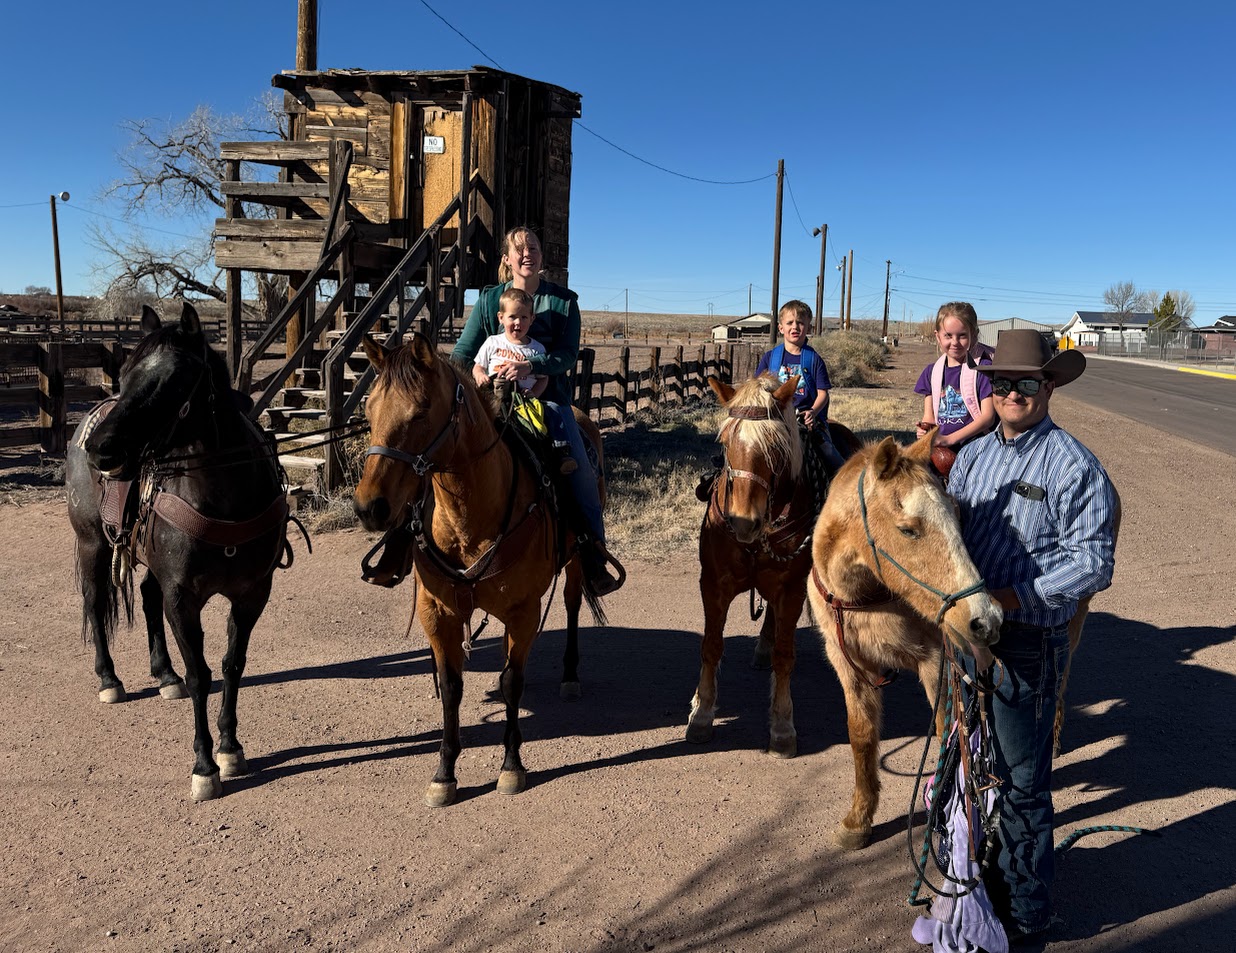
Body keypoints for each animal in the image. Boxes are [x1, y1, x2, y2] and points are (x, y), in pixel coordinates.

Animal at [67, 301, 291, 800]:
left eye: (174, 378)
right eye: (126, 372)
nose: (101, 452)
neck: (225, 497)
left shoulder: (252, 594)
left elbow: (231, 665)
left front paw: (230, 747)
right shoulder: (182, 596)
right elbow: (201, 675)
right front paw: (204, 764)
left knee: (148, 599)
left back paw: (163, 673)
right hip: (92, 543)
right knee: (95, 601)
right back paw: (109, 679)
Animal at [351, 331, 610, 810]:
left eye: (420, 412)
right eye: (369, 410)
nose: (368, 508)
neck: (468, 520)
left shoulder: (523, 612)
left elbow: (511, 683)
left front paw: (511, 766)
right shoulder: (438, 613)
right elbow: (451, 687)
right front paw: (444, 773)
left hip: (573, 565)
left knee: (570, 607)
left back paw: (569, 674)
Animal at [687, 375, 860, 761]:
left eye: (775, 448)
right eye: (725, 444)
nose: (743, 522)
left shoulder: (791, 589)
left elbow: (785, 655)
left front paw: (782, 727)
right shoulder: (713, 584)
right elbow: (710, 646)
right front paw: (701, 714)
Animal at [810, 432, 1003, 850]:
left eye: (957, 516)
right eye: (908, 530)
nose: (986, 619)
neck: (862, 599)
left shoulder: (934, 661)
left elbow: (946, 731)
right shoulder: (849, 666)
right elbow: (861, 735)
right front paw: (858, 820)